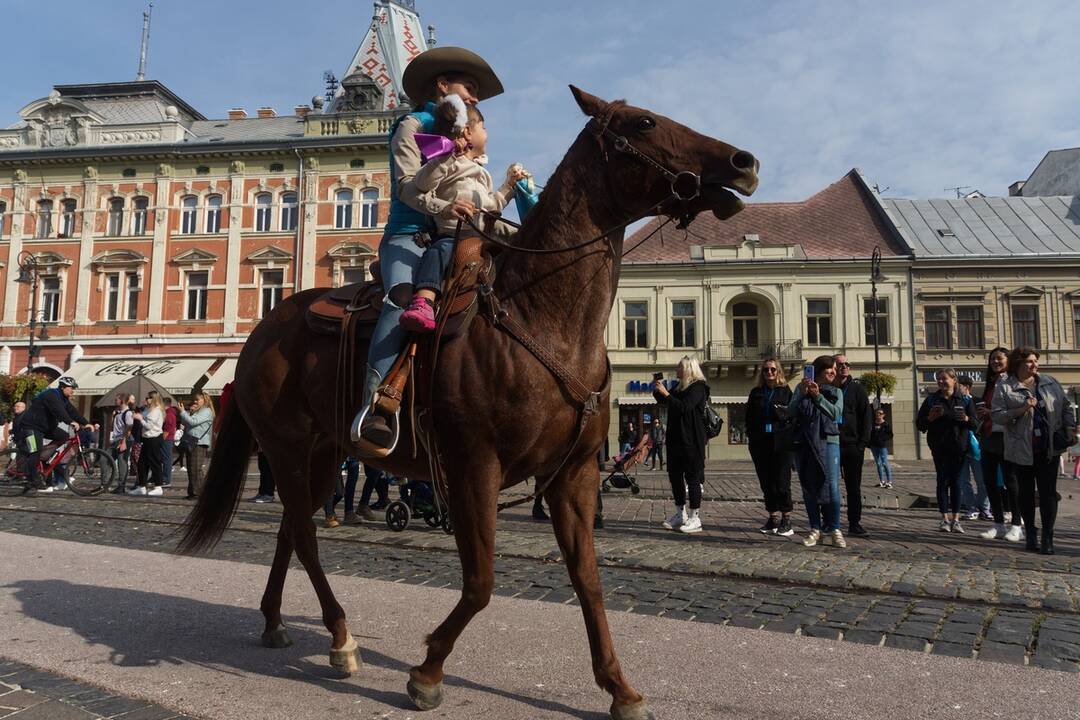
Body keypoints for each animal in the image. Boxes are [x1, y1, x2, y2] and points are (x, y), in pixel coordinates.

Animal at [177, 87, 756, 716]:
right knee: (305, 538)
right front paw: (428, 671)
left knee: (291, 530)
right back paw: (342, 637)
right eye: (644, 123)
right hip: (285, 449)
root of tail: (259, 333)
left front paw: (619, 687)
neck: (538, 316)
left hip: (324, 454)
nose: (743, 162)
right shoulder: (474, 467)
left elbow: (588, 578)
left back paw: (279, 622)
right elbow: (480, 583)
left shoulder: (574, 474)